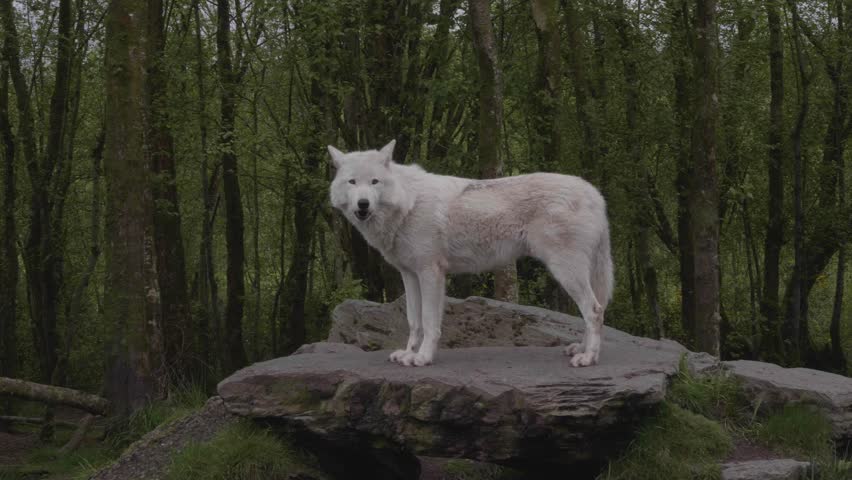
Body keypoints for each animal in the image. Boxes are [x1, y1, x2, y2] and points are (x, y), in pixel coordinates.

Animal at [328, 141, 612, 366]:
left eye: (374, 182)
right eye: (352, 182)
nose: (363, 204)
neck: (408, 204)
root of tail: (594, 193)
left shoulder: (431, 273)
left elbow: (429, 322)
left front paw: (423, 358)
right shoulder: (409, 275)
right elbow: (413, 321)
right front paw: (408, 354)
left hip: (566, 272)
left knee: (594, 310)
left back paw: (589, 357)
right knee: (593, 310)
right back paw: (582, 349)